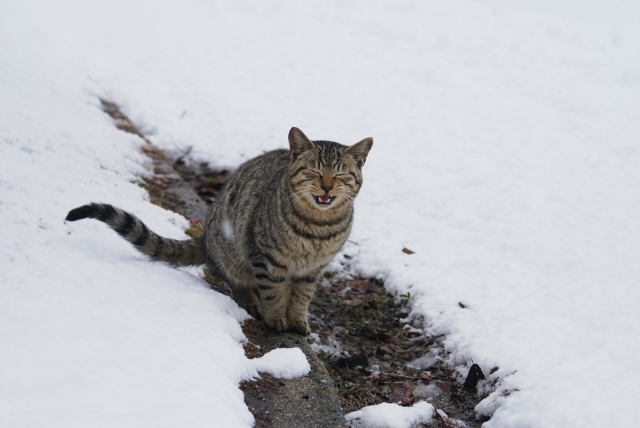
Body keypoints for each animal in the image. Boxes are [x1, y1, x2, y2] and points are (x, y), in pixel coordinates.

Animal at [65, 127, 372, 334]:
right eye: (313, 172)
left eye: (340, 174)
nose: (327, 187)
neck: (318, 227)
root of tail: (206, 238)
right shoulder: (266, 258)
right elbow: (274, 293)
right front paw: (276, 318)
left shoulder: (314, 269)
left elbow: (302, 297)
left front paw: (297, 320)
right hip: (232, 253)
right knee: (235, 280)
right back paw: (252, 302)